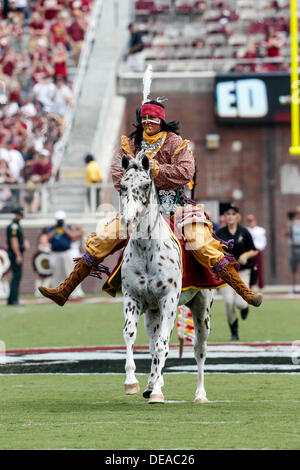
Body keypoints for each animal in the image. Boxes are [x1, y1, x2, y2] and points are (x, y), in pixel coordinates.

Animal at [119, 151, 213, 404]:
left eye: (144, 185)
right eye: (122, 186)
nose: (128, 220)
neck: (147, 251)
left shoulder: (168, 300)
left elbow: (164, 346)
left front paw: (158, 393)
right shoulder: (133, 298)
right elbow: (130, 335)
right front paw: (132, 382)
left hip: (201, 309)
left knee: (199, 350)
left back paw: (200, 394)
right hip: (153, 313)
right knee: (153, 346)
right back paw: (151, 383)